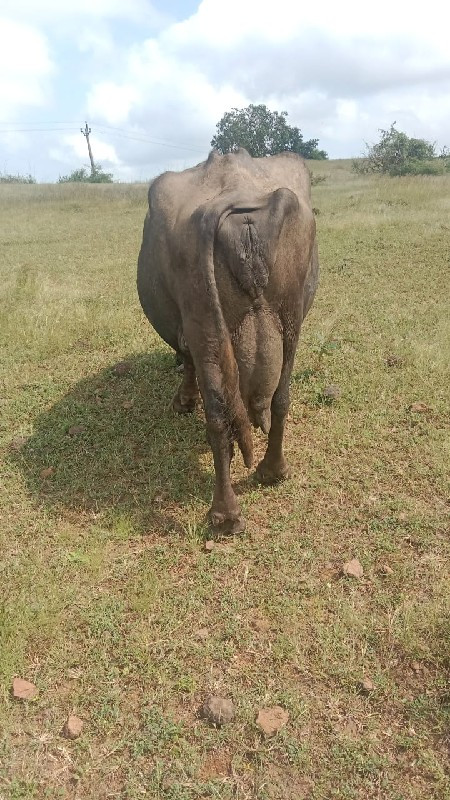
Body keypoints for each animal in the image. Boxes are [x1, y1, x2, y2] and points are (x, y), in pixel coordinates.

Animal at [139, 147, 318, 536]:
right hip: (291, 316)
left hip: (204, 325)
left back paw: (224, 515)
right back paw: (272, 471)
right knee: (280, 398)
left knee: (218, 416)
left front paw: (184, 400)